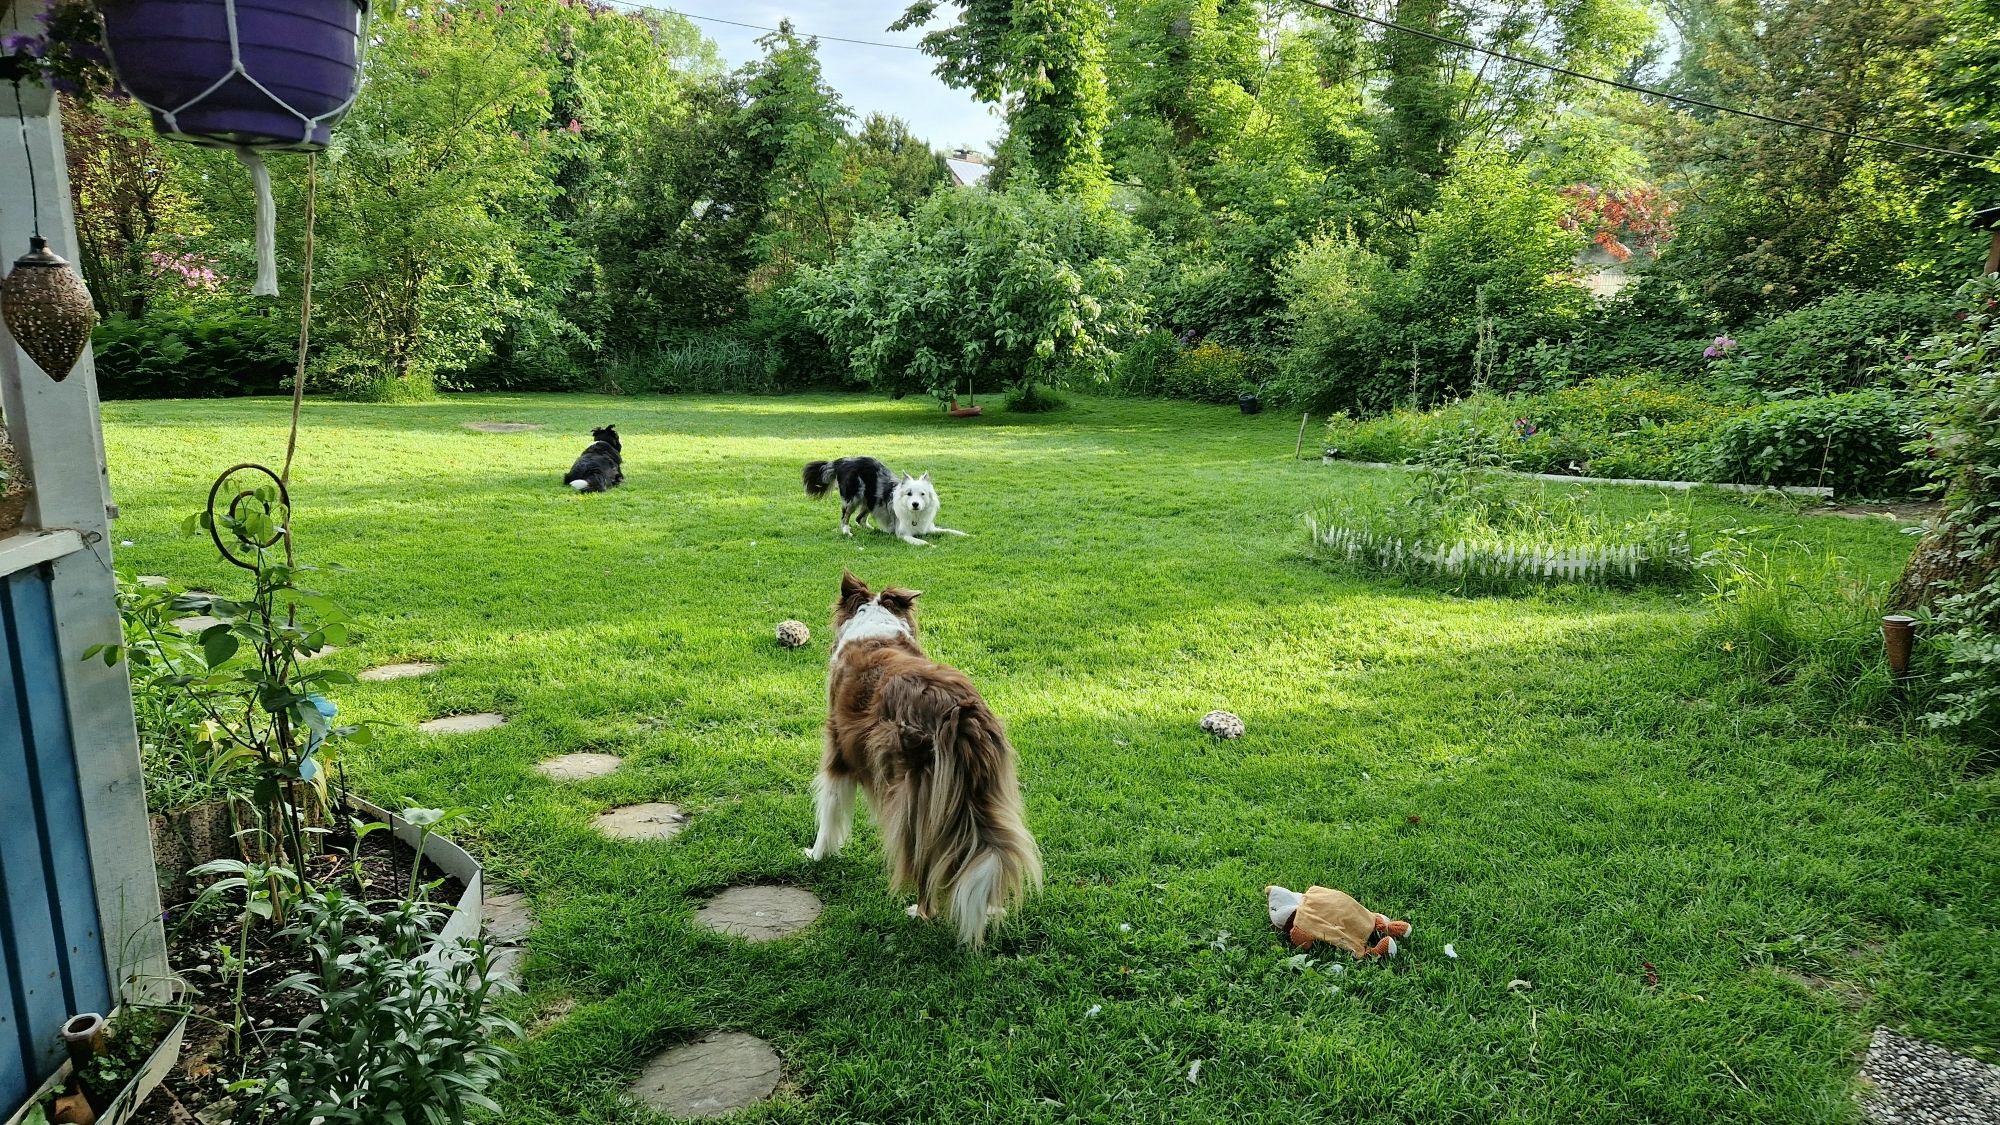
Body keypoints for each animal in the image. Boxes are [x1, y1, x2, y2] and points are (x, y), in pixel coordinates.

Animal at [808, 452, 972, 544]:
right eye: (909, 493)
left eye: (922, 494)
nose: (915, 504)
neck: (914, 515)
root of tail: (843, 461)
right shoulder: (903, 535)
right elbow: (923, 542)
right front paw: (932, 545)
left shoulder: (928, 528)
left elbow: (950, 531)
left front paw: (967, 535)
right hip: (854, 497)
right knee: (845, 517)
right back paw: (846, 532)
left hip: (871, 499)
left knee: (860, 518)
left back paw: (874, 529)